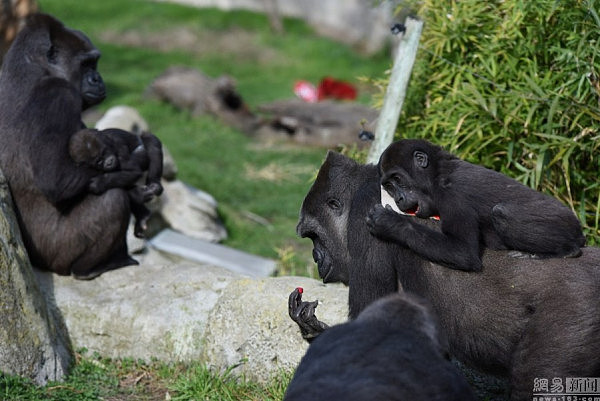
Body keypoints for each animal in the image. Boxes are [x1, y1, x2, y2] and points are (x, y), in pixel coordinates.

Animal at [0, 14, 137, 278]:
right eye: (86, 64)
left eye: (95, 63)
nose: (98, 79)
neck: (30, 64)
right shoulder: (58, 94)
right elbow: (58, 181)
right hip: (56, 258)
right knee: (113, 199)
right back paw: (90, 268)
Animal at [366, 138, 584, 272]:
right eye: (389, 187)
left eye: (398, 180)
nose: (398, 199)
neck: (437, 174)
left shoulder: (452, 194)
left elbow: (463, 252)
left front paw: (389, 223)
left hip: (564, 221)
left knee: (503, 214)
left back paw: (566, 251)